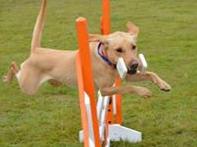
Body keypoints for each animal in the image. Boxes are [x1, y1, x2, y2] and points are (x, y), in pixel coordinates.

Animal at [2, 0, 171, 96]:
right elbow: (128, 88)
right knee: (13, 66)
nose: (135, 65)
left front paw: (163, 85)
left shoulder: (128, 75)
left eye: (133, 46)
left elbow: (150, 73)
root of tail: (37, 49)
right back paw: (7, 77)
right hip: (28, 86)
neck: (105, 60)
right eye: (118, 50)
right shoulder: (104, 90)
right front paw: (143, 91)